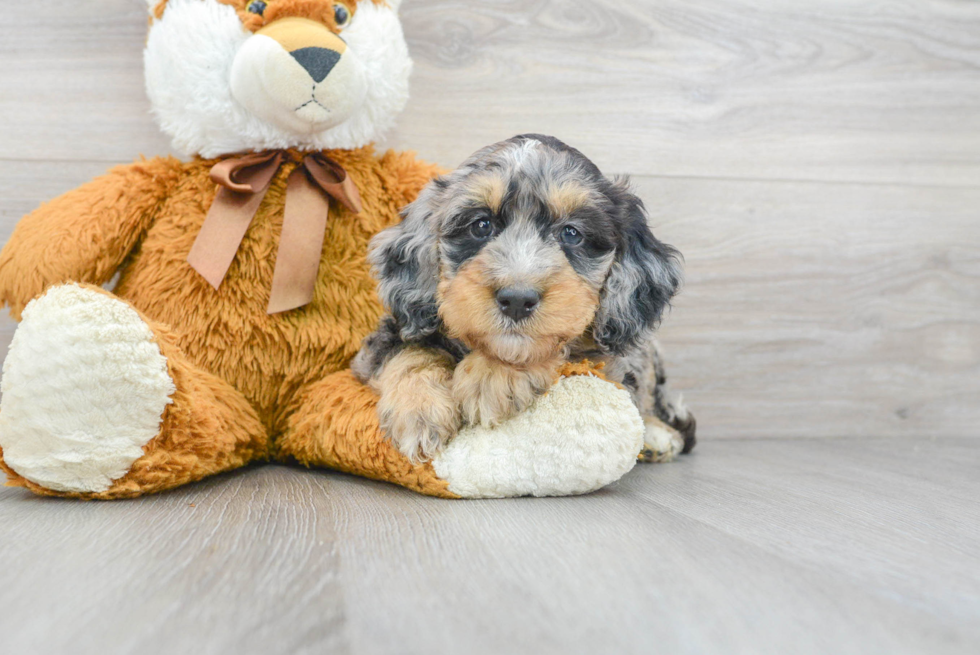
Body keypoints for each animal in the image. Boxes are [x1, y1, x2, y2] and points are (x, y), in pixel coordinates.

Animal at [352, 135, 696, 462]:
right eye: (481, 225)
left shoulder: (610, 366)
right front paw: (420, 413)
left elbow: (557, 348)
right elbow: (411, 351)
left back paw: (657, 436)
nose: (517, 300)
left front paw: (493, 376)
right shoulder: (383, 340)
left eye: (571, 233)